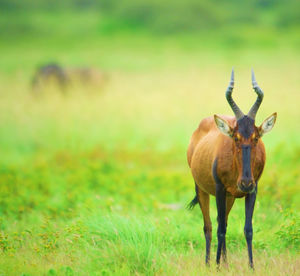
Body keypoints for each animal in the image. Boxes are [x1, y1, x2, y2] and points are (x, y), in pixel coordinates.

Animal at [188, 69, 276, 270]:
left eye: (256, 137)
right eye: (236, 137)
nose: (245, 182)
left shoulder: (253, 190)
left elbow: (248, 229)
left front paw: (251, 267)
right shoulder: (220, 190)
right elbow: (219, 230)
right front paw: (216, 266)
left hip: (231, 197)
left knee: (224, 221)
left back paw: (226, 263)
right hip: (202, 189)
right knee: (209, 226)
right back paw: (208, 263)